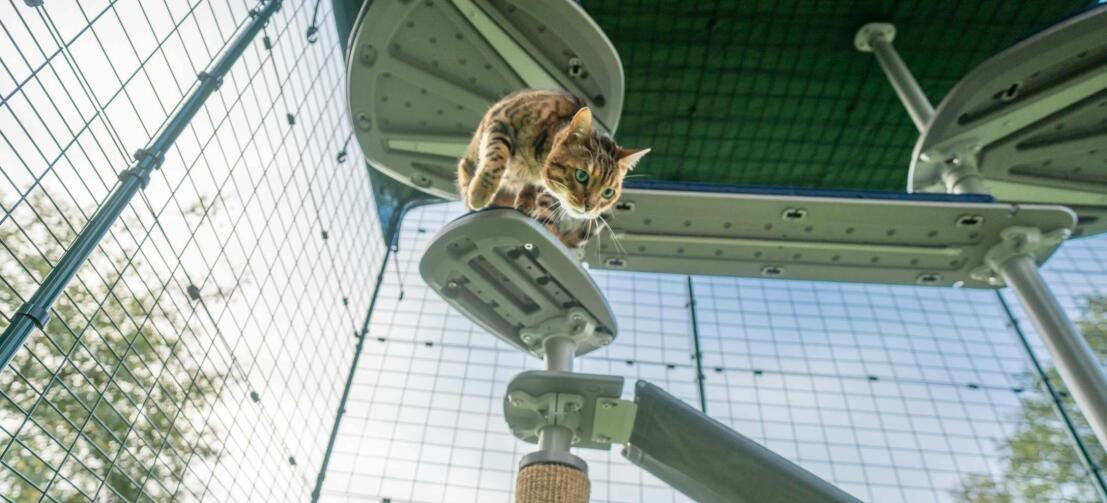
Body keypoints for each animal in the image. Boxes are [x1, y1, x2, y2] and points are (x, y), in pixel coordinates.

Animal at [458, 90, 646, 249]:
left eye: (608, 192)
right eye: (581, 176)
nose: (589, 207)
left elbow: (536, 192)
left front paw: (527, 200)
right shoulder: (502, 121)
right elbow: (496, 156)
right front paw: (480, 192)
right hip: (469, 160)